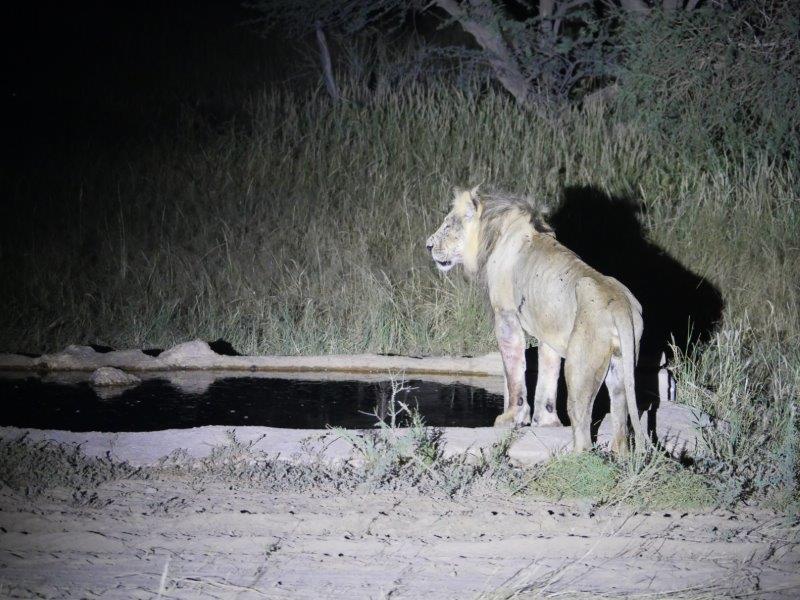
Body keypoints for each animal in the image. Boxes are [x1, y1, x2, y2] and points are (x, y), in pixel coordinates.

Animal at [428, 185, 648, 452]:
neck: (493, 232)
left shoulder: (506, 316)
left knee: (583, 431)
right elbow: (547, 375)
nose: (428, 245)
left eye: (449, 225)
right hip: (620, 367)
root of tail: (620, 306)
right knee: (620, 426)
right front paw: (546, 422)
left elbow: (513, 370)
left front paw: (511, 418)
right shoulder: (548, 331)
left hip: (580, 369)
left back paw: (570, 457)